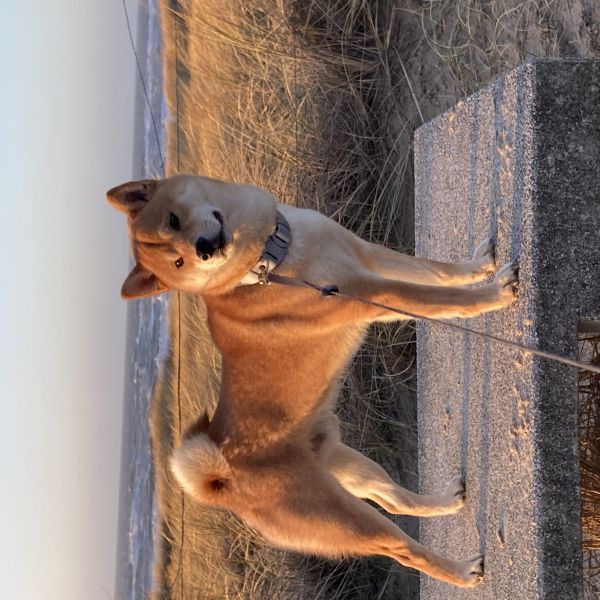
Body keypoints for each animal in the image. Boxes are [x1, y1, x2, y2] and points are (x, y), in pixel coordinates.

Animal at [106, 173, 516, 584]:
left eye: (173, 222)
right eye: (178, 261)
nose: (204, 249)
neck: (269, 261)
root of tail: (222, 479)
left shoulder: (368, 255)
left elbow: (435, 270)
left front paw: (479, 266)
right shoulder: (369, 291)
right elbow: (439, 298)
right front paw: (492, 294)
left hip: (348, 466)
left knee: (394, 499)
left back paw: (445, 501)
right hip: (343, 517)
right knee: (401, 549)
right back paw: (461, 572)